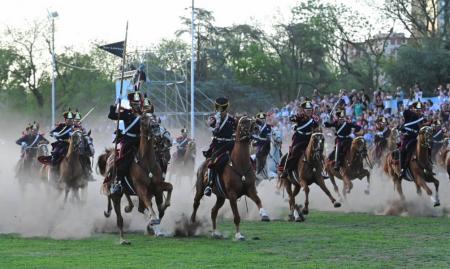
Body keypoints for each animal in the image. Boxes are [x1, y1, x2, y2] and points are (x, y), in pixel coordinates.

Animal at [98, 113, 172, 243]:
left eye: (155, 117)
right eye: (143, 119)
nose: (155, 127)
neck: (146, 162)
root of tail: (110, 154)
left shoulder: (156, 187)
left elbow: (169, 189)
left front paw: (163, 208)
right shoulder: (141, 188)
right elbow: (149, 205)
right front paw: (153, 220)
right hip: (116, 193)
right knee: (119, 217)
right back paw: (122, 239)